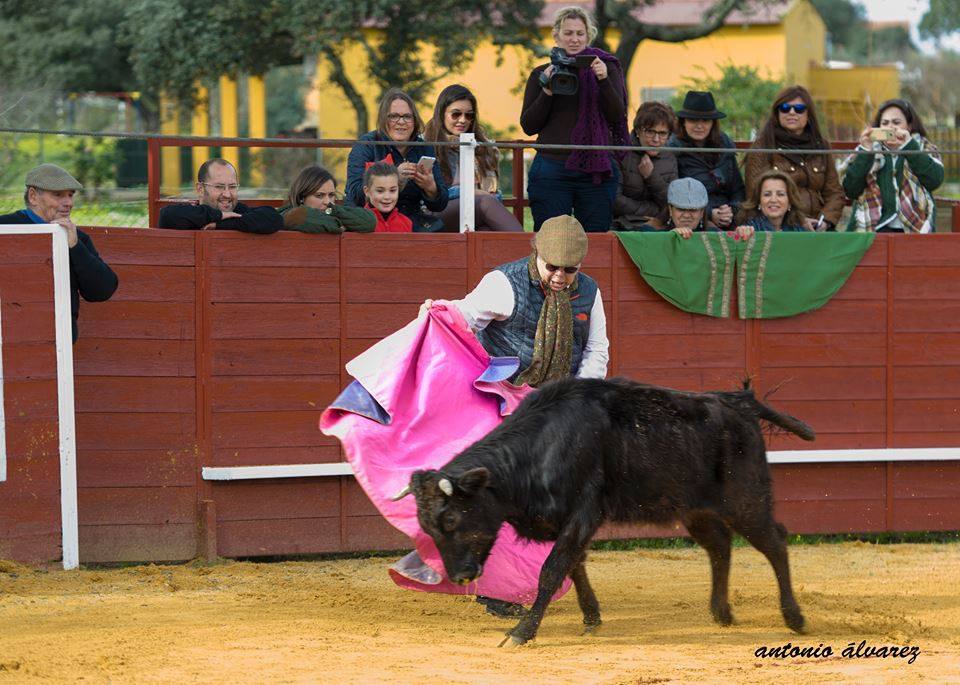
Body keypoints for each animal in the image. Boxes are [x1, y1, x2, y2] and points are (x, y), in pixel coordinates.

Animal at [394, 376, 812, 644]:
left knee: (775, 543)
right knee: (720, 546)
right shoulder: (564, 522)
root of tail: (739, 402)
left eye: (451, 518)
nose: (460, 576)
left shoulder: (583, 514)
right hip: (696, 509)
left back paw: (795, 617)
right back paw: (721, 612)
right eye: (428, 528)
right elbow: (574, 566)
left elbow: (553, 570)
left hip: (746, 499)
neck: (539, 449)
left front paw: (521, 633)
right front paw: (591, 618)